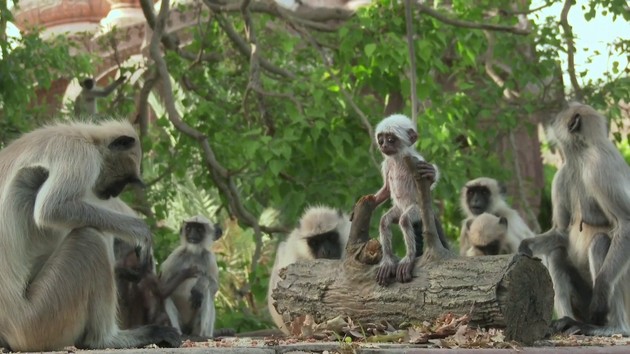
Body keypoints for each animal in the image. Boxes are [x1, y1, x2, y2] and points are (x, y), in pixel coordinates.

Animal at [0, 119, 181, 352]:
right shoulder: (81, 154)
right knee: (90, 238)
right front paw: (140, 232)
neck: (89, 137)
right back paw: (107, 339)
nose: (114, 192)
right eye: (122, 180)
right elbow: (52, 209)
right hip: (37, 321)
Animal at [376, 115, 450, 286]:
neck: (397, 159)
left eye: (390, 139)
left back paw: (408, 259)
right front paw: (373, 199)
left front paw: (431, 173)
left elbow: (429, 181)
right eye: (381, 139)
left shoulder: (415, 161)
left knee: (404, 220)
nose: (383, 145)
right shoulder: (387, 164)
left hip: (416, 210)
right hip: (399, 209)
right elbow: (387, 189)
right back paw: (388, 261)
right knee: (384, 222)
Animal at [520, 103, 630, 336]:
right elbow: (561, 232)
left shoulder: (598, 167)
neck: (581, 155)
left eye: (559, 114)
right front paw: (525, 247)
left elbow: (626, 223)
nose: (551, 119)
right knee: (556, 253)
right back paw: (566, 320)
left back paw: (612, 327)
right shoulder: (562, 174)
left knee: (600, 243)